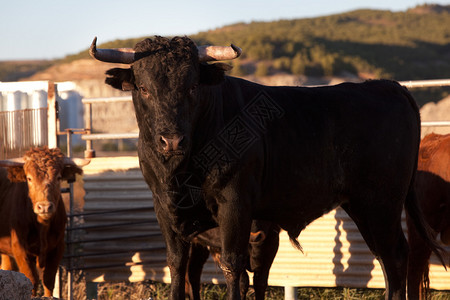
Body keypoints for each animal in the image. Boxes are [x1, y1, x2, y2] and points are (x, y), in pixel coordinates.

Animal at [0, 146, 89, 296]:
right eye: (29, 178)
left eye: (58, 177)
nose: (45, 207)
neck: (42, 226)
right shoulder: (20, 248)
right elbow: (31, 279)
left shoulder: (58, 247)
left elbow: (48, 279)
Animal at [89, 36, 444, 298]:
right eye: (144, 88)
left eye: (192, 86)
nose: (172, 140)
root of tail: (389, 86)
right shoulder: (165, 208)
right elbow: (177, 266)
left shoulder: (234, 205)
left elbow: (233, 266)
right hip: (364, 206)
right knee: (387, 258)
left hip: (381, 203)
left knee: (396, 257)